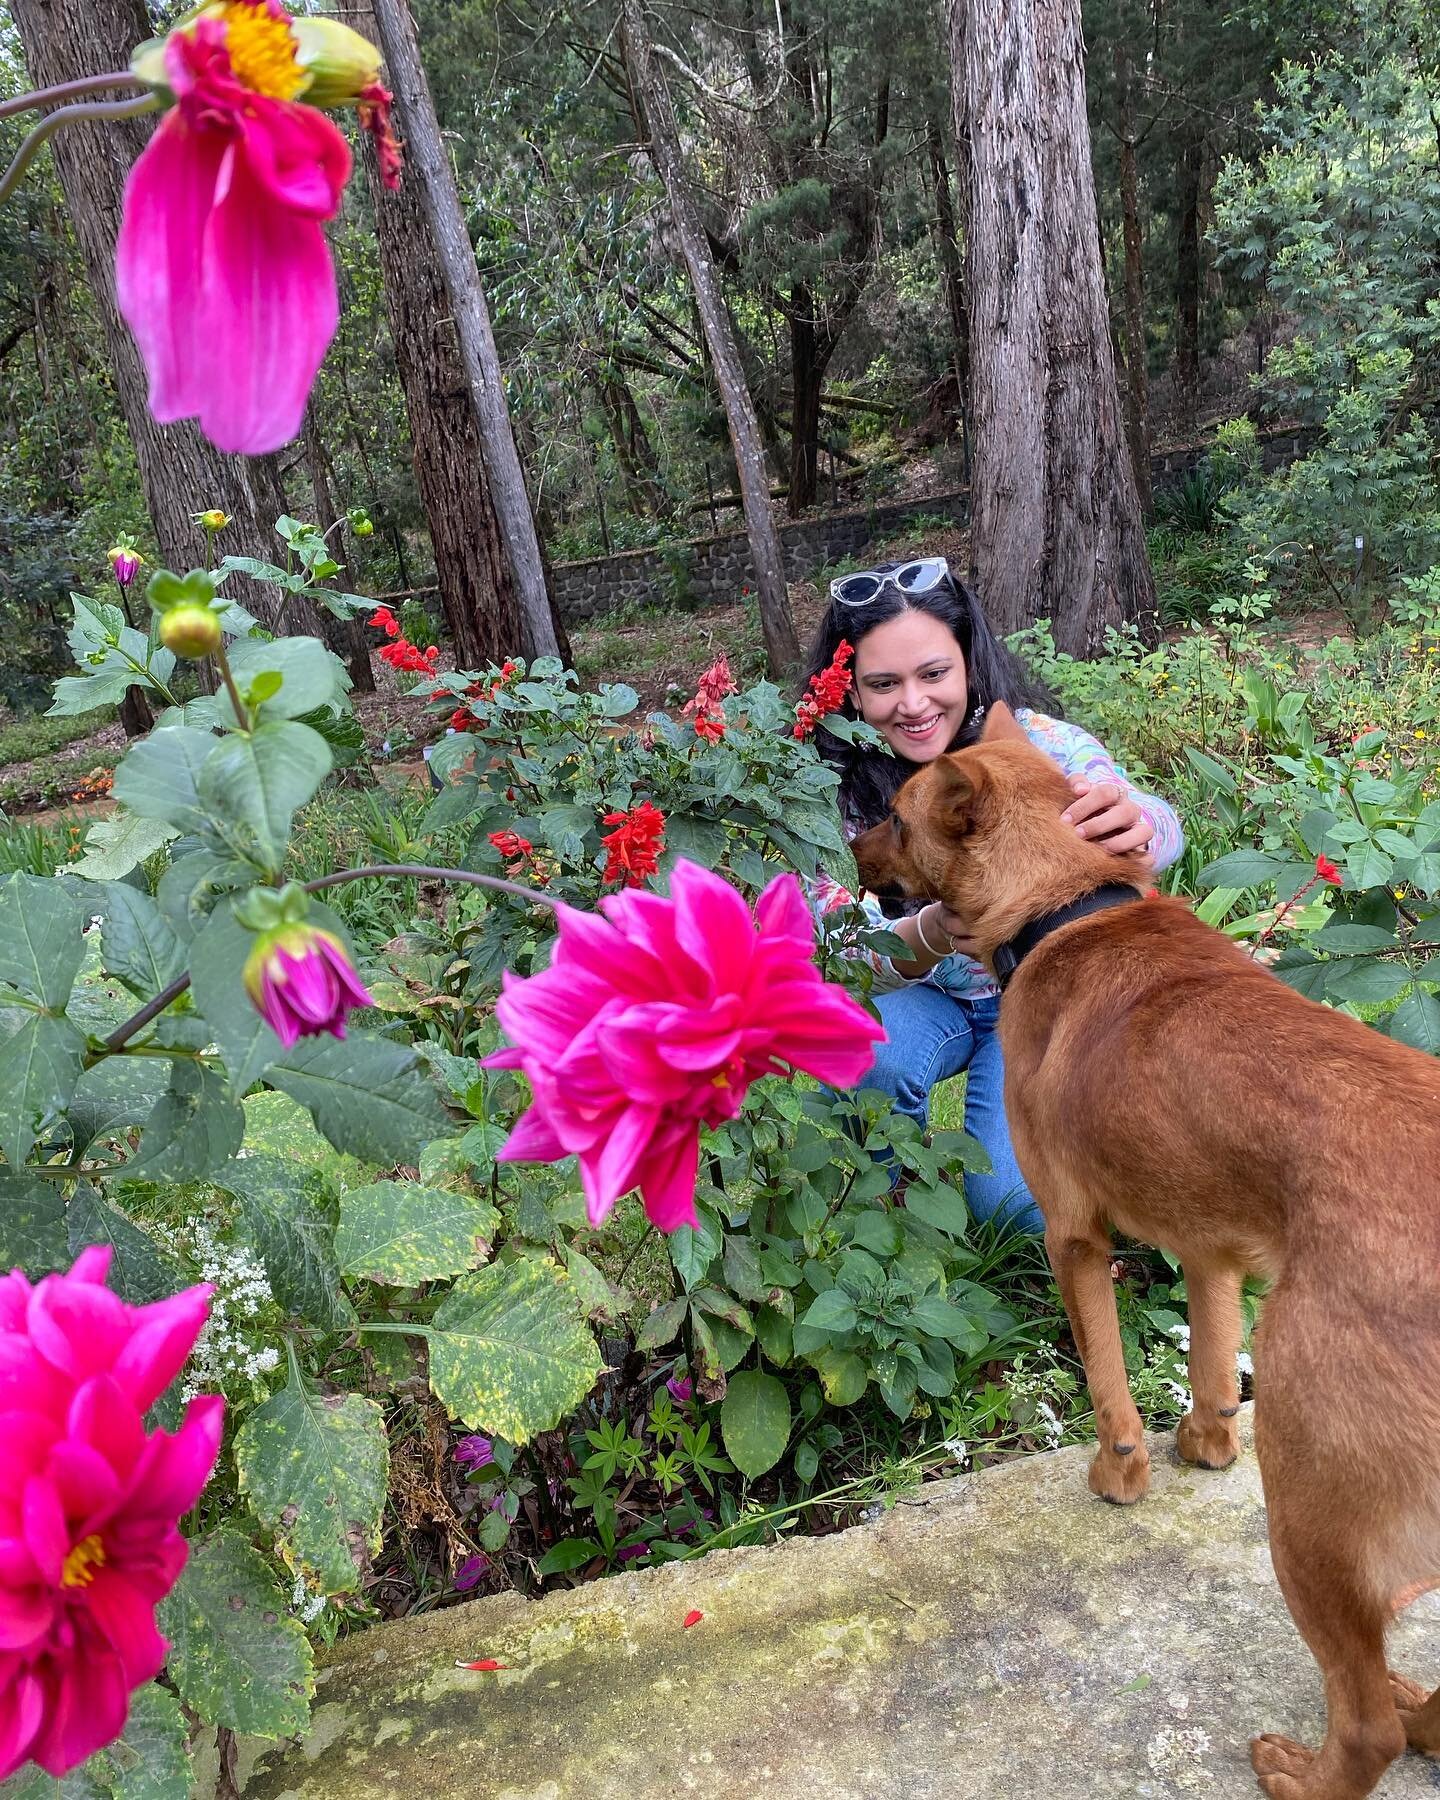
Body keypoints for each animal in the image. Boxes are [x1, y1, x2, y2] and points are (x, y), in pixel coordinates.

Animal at [849, 702, 1440, 1800]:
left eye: (898, 818)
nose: (851, 848)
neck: (1068, 905)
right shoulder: (1210, 1245)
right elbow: (1206, 1363)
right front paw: (1204, 1443)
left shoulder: (1072, 1236)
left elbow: (1108, 1378)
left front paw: (1120, 1471)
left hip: (1309, 1503)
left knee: (1365, 1723)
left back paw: (1304, 1770)